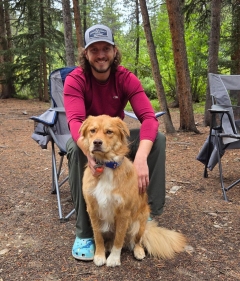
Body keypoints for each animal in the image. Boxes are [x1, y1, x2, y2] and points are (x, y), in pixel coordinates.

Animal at [79, 114, 187, 266]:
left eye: (109, 132)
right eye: (92, 131)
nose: (97, 143)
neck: (106, 165)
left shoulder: (123, 212)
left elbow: (119, 239)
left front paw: (114, 258)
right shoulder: (93, 209)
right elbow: (98, 235)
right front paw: (99, 255)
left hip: (138, 223)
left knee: (137, 241)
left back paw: (138, 251)